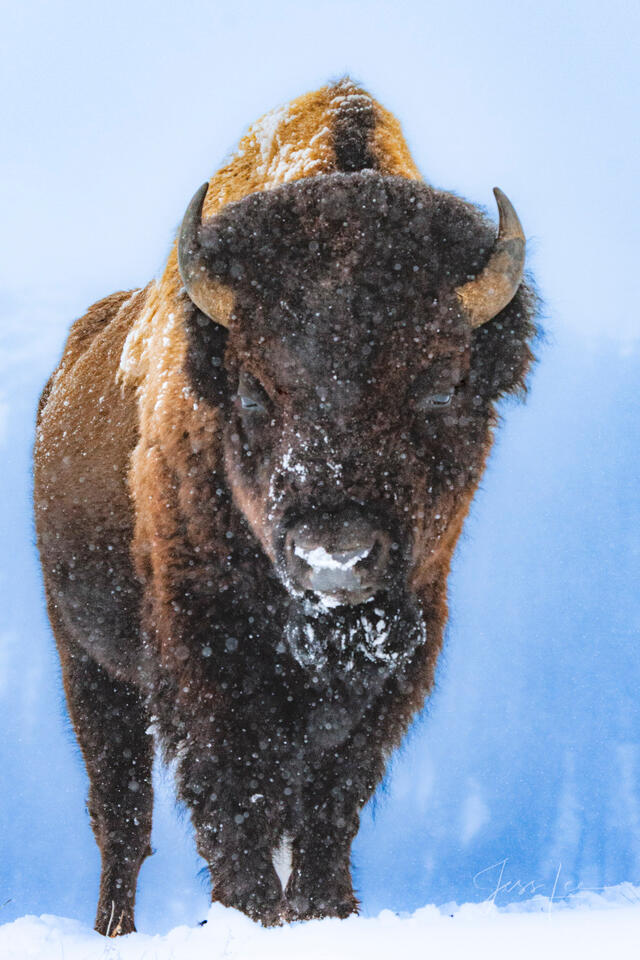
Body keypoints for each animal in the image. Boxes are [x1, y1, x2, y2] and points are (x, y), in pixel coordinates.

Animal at [33, 78, 537, 935]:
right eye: (251, 389)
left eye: (441, 387)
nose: (335, 555)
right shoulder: (205, 655)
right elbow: (237, 794)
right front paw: (249, 916)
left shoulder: (400, 654)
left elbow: (330, 801)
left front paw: (326, 912)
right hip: (88, 661)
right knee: (121, 812)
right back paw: (113, 930)